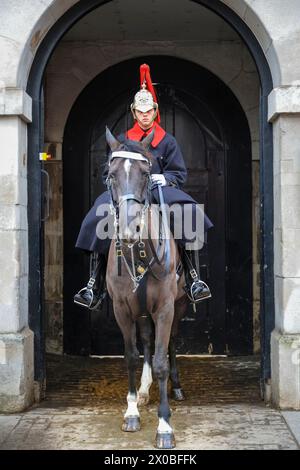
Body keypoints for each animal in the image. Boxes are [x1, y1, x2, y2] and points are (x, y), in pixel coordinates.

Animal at [104, 126, 186, 450]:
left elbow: (162, 359)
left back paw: (175, 387)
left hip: (178, 307)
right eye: (111, 174)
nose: (129, 230)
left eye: (146, 172)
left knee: (171, 343)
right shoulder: (122, 310)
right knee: (148, 342)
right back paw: (143, 389)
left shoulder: (165, 308)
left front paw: (165, 426)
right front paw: (131, 412)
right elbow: (131, 356)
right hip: (140, 312)